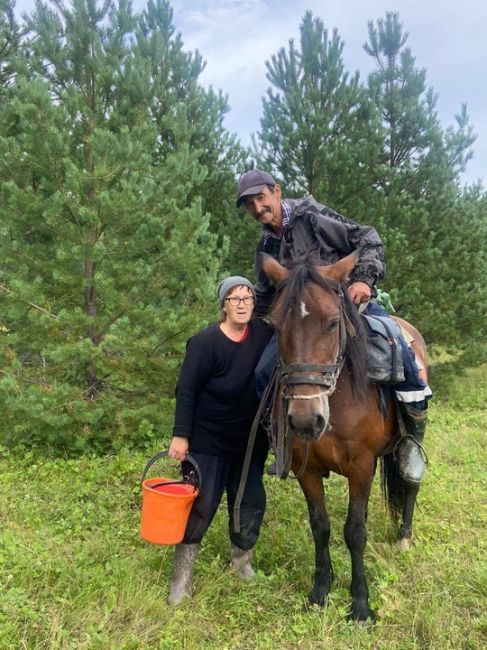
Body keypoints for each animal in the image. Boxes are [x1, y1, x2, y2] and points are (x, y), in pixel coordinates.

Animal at [262, 251, 428, 620]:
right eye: (275, 326)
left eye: (332, 322)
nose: (306, 420)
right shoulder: (305, 469)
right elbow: (320, 527)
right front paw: (319, 592)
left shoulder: (361, 466)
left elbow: (355, 532)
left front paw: (361, 604)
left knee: (410, 478)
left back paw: (405, 536)